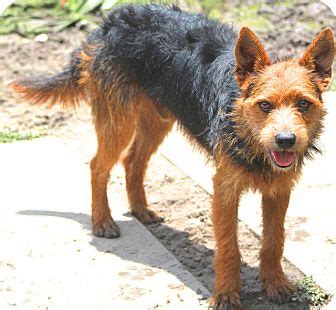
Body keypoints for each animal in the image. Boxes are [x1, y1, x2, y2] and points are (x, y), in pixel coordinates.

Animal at [11, 3, 334, 308]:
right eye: (265, 105)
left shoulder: (279, 191)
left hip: (157, 120)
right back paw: (102, 221)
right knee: (98, 165)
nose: (286, 141)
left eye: (303, 104)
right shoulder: (224, 190)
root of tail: (112, 20)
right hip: (119, 122)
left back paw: (140, 209)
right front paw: (226, 294)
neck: (247, 132)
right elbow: (228, 247)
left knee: (133, 161)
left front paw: (276, 284)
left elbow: (274, 241)